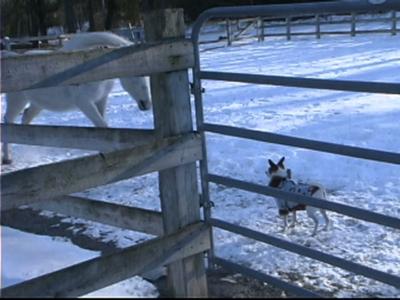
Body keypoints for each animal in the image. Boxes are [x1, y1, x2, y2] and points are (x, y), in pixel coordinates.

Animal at [1, 32, 152, 164]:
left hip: (38, 104)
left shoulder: (101, 100)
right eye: (137, 74)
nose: (146, 104)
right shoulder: (85, 103)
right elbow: (102, 125)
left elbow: (103, 127)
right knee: (8, 121)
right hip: (17, 101)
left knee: (25, 119)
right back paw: (7, 158)